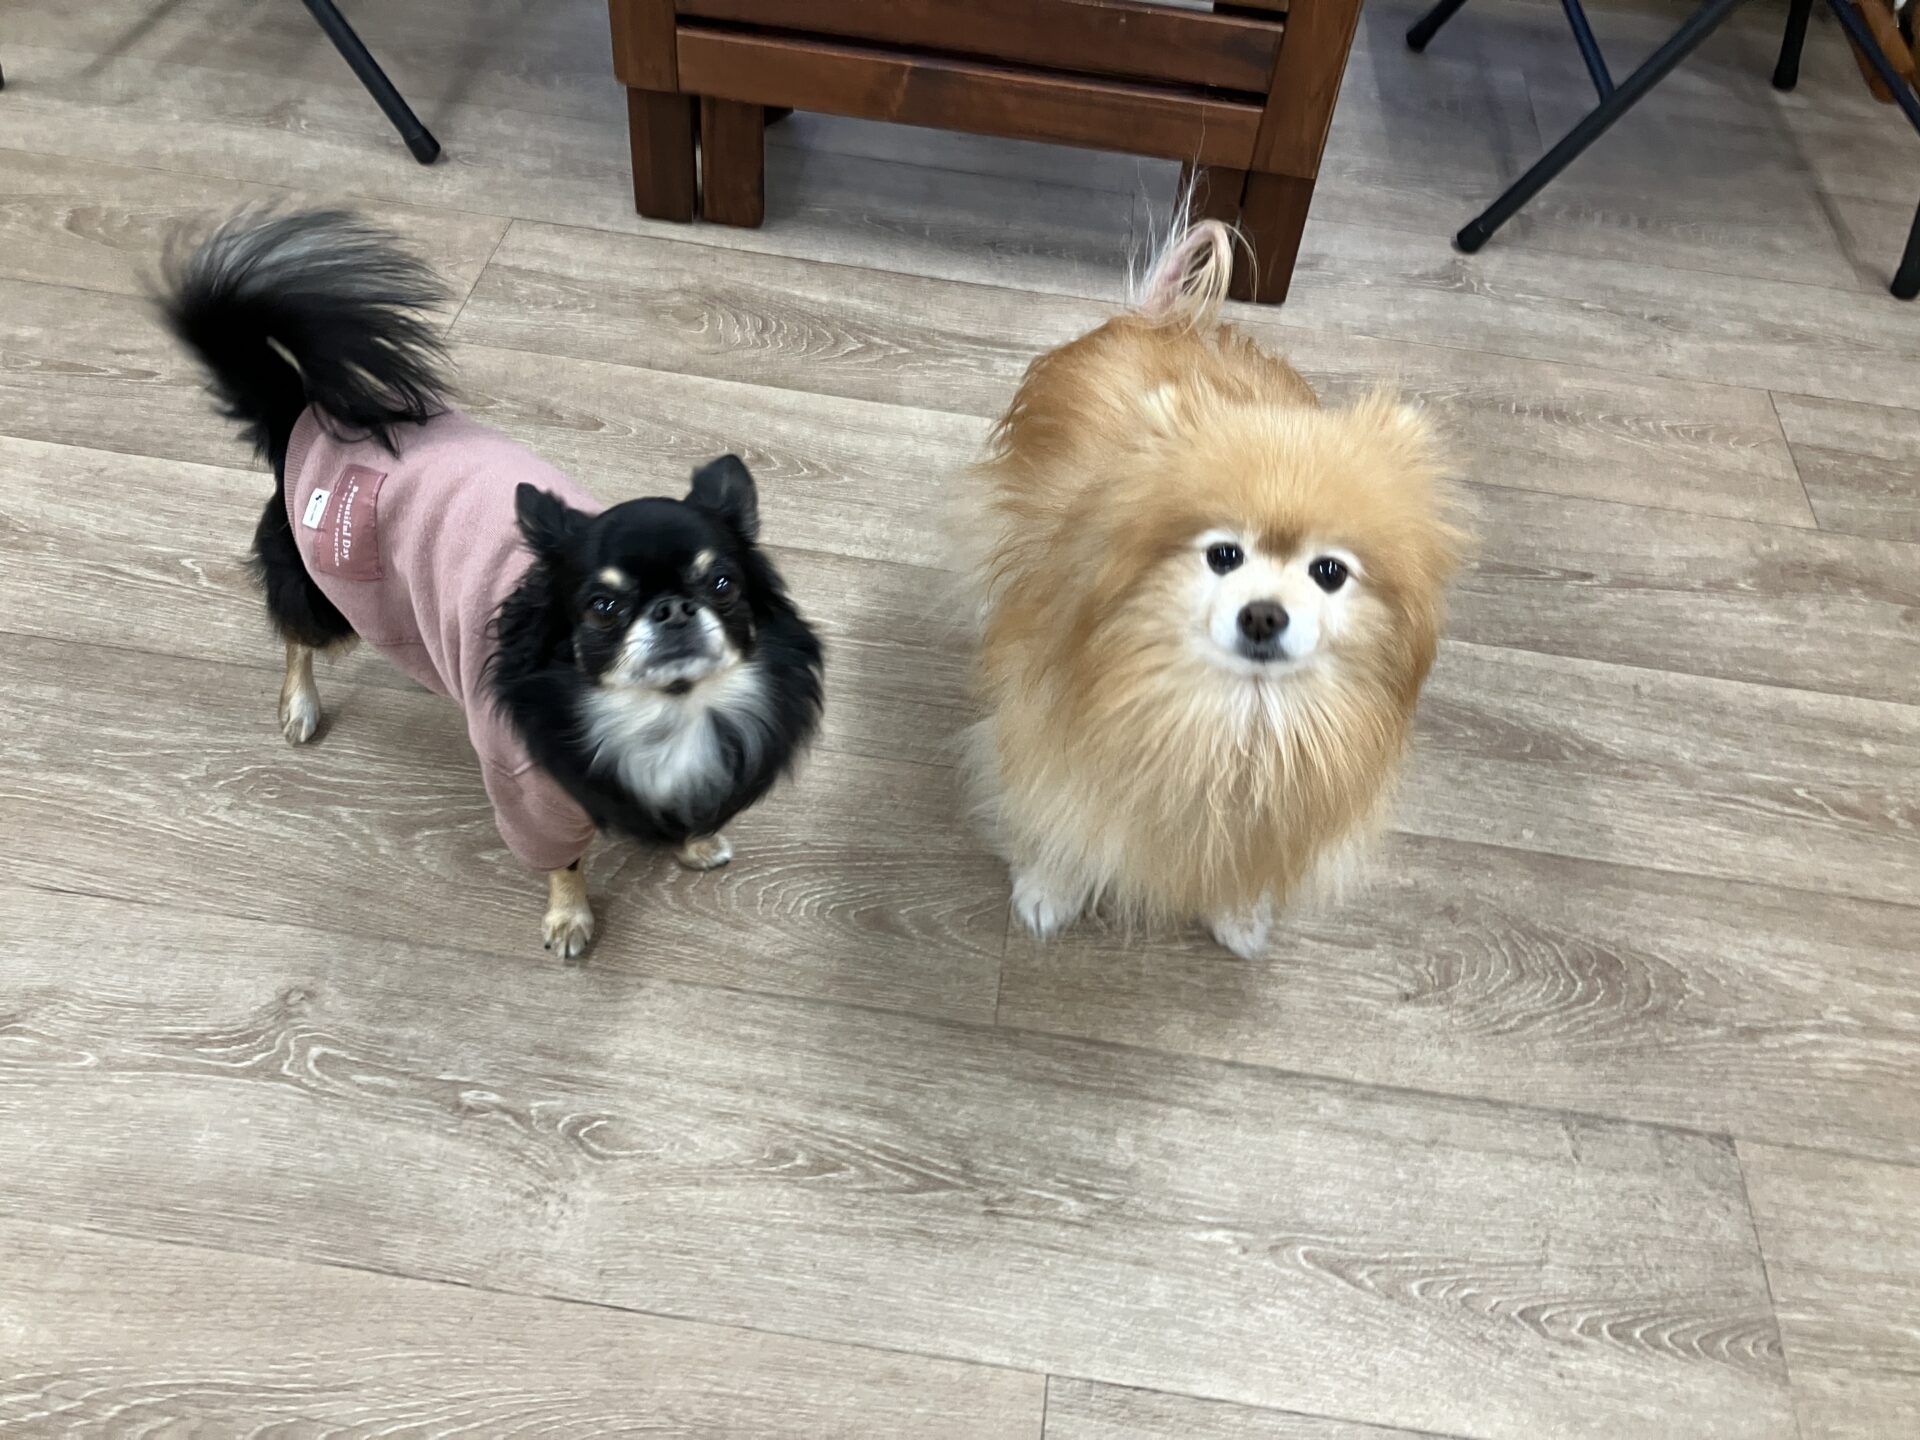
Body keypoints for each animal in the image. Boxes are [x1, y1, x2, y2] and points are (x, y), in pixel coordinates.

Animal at [162, 210, 822, 959]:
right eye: (602, 606)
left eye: (721, 584)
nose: (673, 608)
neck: (665, 717)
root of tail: (302, 416)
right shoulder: (532, 800)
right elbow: (565, 865)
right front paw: (569, 920)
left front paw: (697, 843)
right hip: (336, 607)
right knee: (297, 640)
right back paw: (299, 708)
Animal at [957, 219, 1462, 958]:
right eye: (1223, 556)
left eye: (1329, 572)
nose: (1264, 616)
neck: (1236, 717)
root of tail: (1166, 320)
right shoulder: (1054, 734)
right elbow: (1065, 815)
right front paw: (1051, 889)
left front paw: (1239, 914)